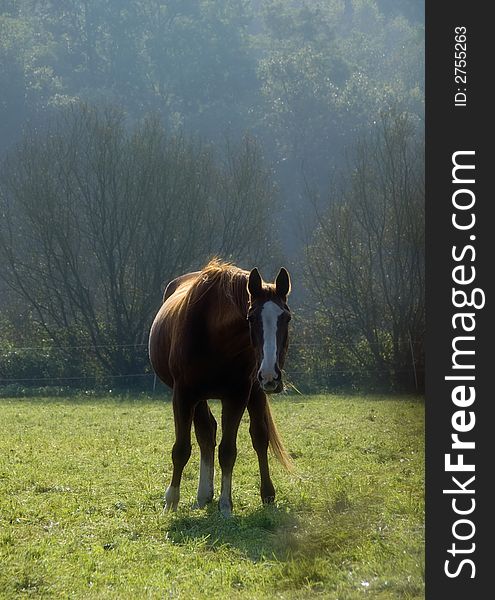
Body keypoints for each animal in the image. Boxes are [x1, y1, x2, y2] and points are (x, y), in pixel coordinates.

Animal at [149, 258, 292, 516]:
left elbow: (228, 451)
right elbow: (181, 449)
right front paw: (171, 501)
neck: (215, 336)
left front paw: (226, 505)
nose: (270, 375)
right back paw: (203, 494)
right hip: (199, 398)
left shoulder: (236, 396)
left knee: (259, 437)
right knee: (206, 433)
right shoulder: (184, 395)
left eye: (286, 318)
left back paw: (266, 494)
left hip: (255, 392)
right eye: (251, 318)